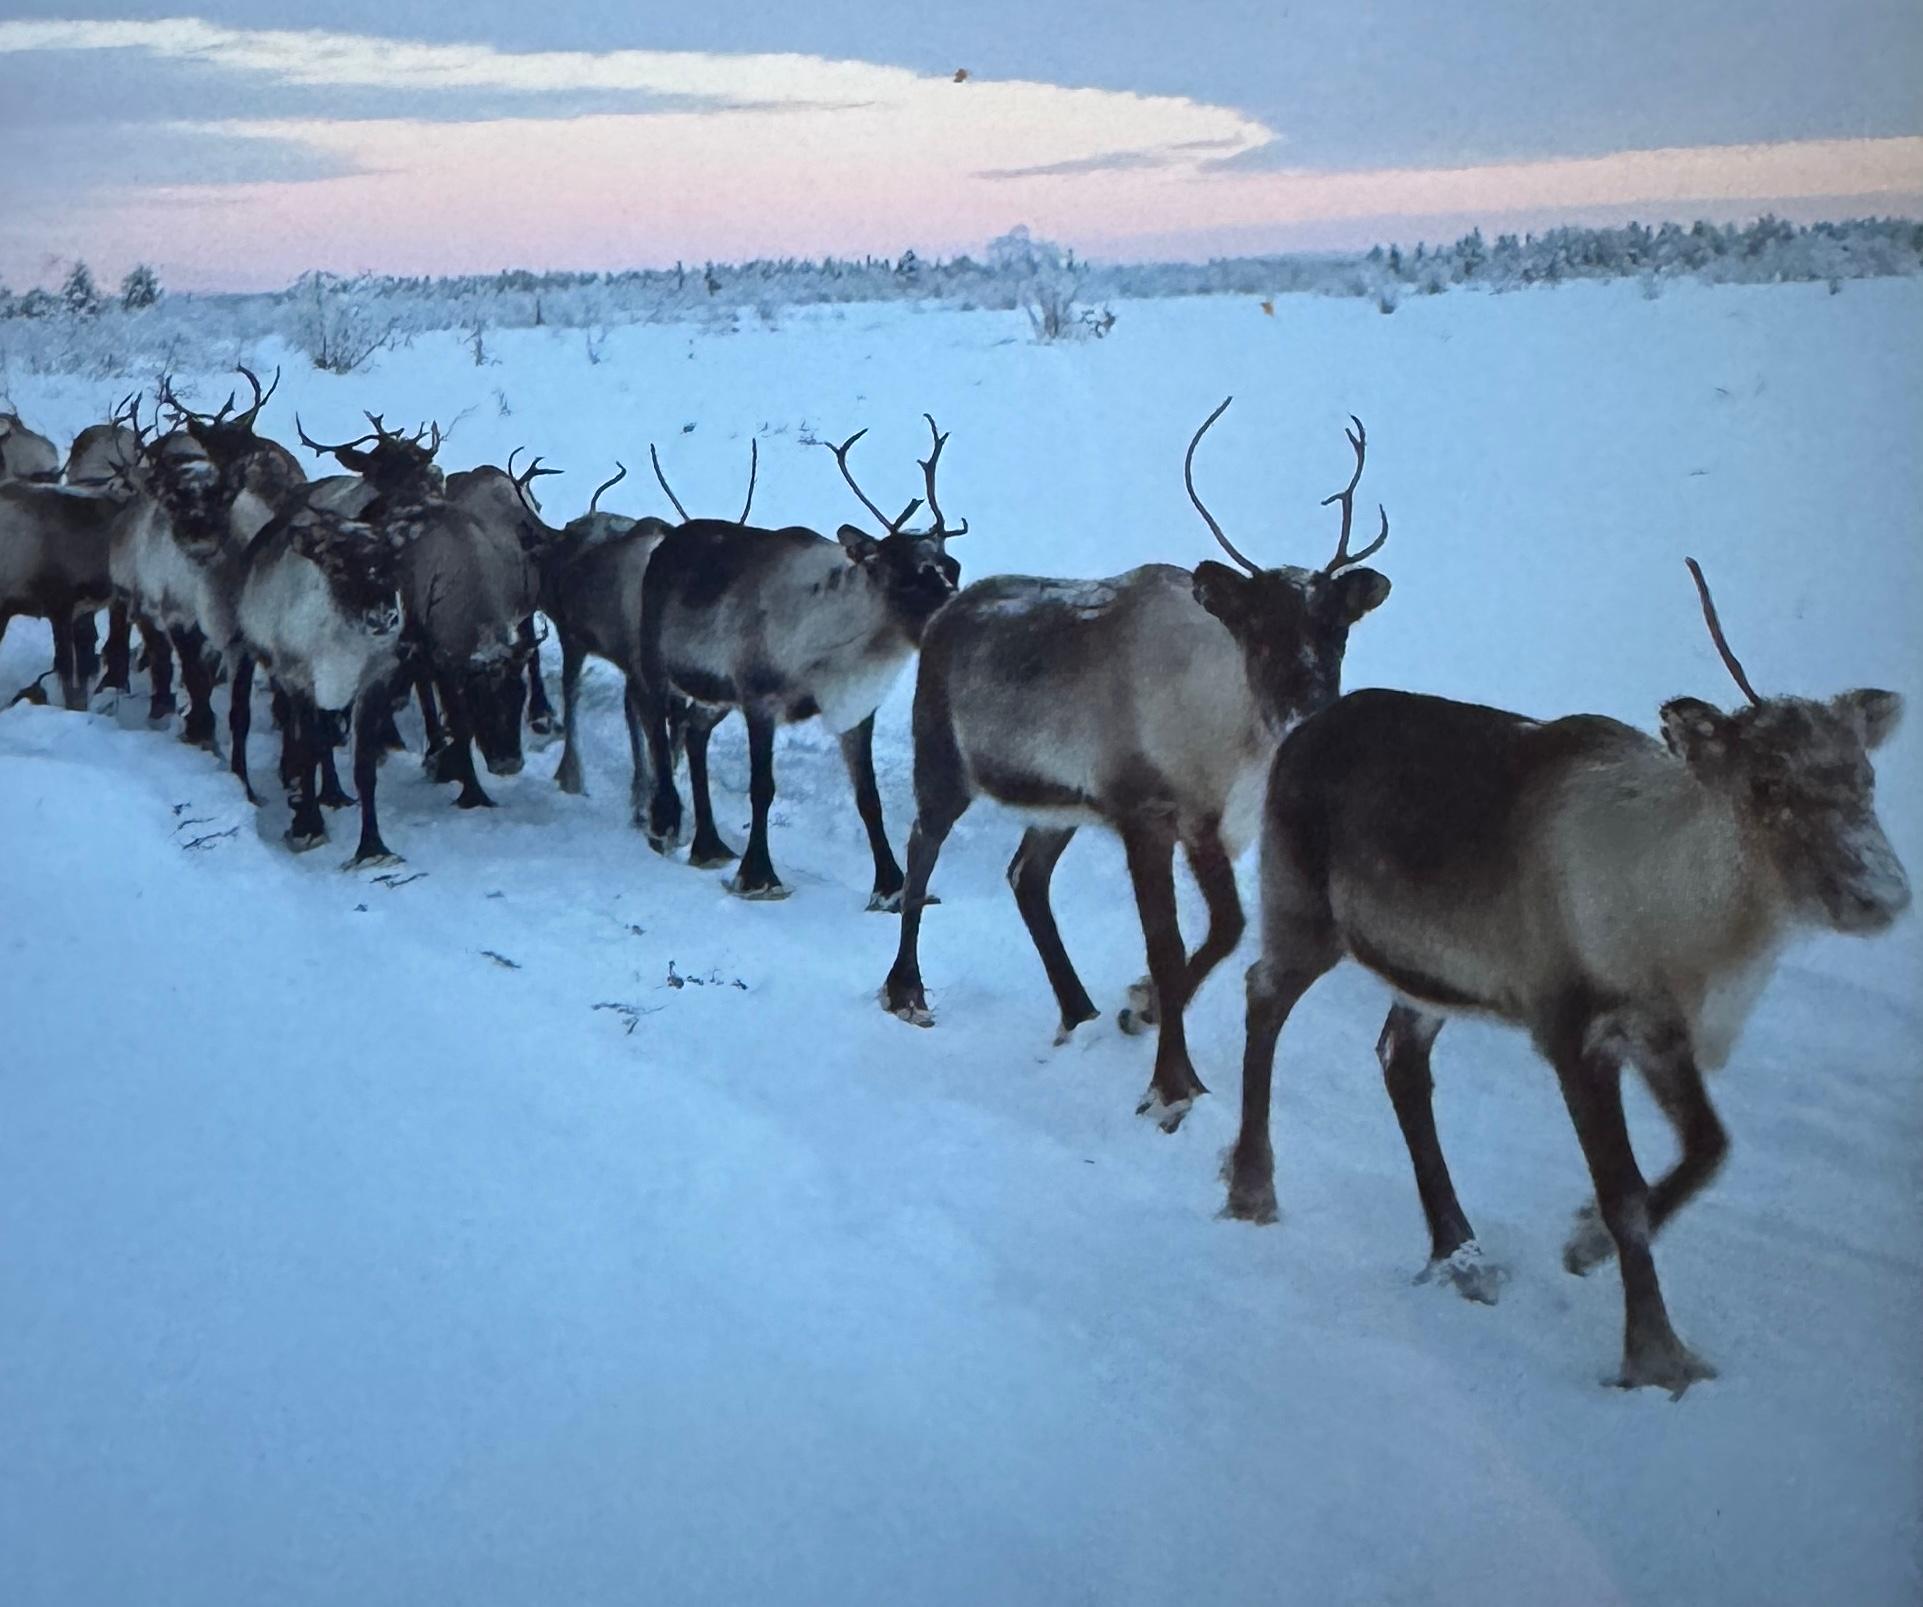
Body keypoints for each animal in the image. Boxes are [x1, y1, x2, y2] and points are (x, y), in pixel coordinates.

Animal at [634, 421, 963, 904]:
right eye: (908, 577)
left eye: (952, 567)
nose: (959, 615)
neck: (840, 648)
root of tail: (665, 541)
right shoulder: (759, 698)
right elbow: (762, 789)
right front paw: (759, 876)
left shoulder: (855, 711)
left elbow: (869, 798)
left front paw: (892, 887)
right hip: (658, 663)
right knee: (655, 726)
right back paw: (664, 823)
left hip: (717, 694)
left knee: (694, 731)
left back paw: (709, 845)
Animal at [882, 400, 1393, 1130]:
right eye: (1259, 630)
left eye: (1337, 629)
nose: (1308, 712)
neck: (1229, 733)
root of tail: (946, 610)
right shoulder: (1145, 815)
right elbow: (1167, 943)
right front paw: (1172, 1083)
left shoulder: (1210, 828)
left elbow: (1227, 929)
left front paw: (1140, 1007)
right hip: (945, 761)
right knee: (922, 844)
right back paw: (907, 991)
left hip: (1059, 804)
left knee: (1025, 875)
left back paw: (1080, 1010)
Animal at [1216, 559, 1909, 1396]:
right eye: (1765, 784)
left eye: (1865, 776)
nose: (1878, 893)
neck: (1690, 927)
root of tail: (1301, 730)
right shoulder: (1572, 1025)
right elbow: (1624, 1193)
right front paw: (1653, 1353)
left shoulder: (1658, 1030)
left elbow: (1709, 1146)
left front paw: (1583, 1244)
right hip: (1303, 913)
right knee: (1262, 995)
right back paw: (1252, 1186)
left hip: (1432, 973)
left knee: (1398, 1057)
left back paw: (1457, 1250)